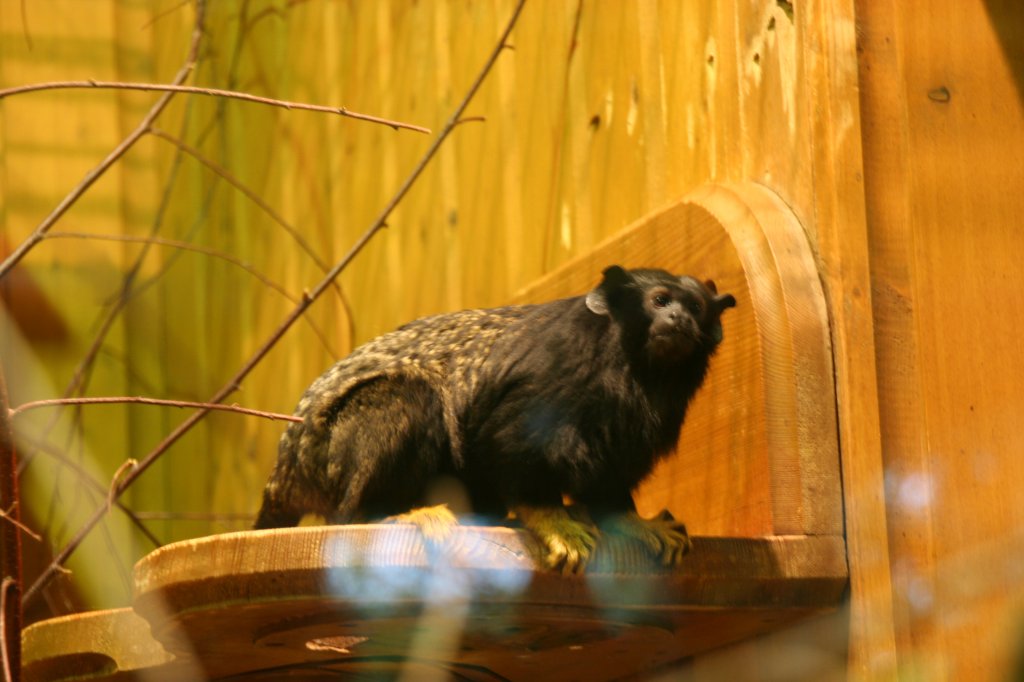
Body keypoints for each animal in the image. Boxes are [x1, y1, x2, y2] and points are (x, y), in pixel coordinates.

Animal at [256, 262, 737, 569]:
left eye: (695, 308)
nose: (679, 318)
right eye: (660, 300)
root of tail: (288, 468)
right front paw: (551, 519)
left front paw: (630, 520)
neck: (629, 365)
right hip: (331, 451)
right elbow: (507, 444)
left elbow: (610, 473)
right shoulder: (555, 371)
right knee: (410, 396)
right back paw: (389, 513)